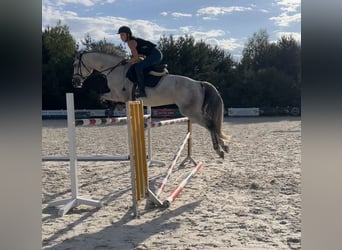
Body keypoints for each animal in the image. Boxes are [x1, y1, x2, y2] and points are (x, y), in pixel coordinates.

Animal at [72, 50, 230, 158]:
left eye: (75, 65)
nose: (75, 82)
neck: (113, 69)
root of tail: (198, 83)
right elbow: (106, 99)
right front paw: (111, 109)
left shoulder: (118, 94)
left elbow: (102, 97)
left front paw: (109, 109)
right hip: (193, 112)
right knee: (212, 125)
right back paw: (224, 147)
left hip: (191, 112)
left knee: (211, 124)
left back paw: (219, 149)